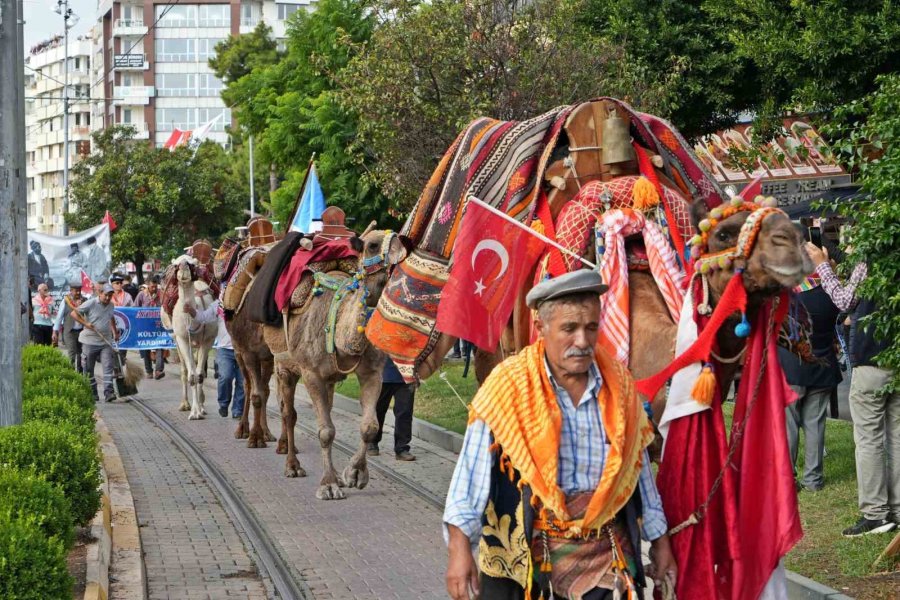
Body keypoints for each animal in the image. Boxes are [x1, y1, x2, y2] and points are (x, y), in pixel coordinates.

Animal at [161, 255, 219, 420]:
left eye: (192, 264)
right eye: (176, 265)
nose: (183, 272)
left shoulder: (208, 339)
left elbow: (199, 375)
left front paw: (199, 410)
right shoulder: (182, 338)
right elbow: (191, 375)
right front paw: (193, 412)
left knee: (199, 368)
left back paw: (202, 404)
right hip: (175, 337)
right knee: (184, 369)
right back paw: (184, 404)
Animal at [262, 230, 406, 502]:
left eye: (402, 241)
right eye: (373, 245)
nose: (400, 257)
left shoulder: (372, 372)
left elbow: (370, 426)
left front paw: (355, 474)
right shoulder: (311, 373)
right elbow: (325, 431)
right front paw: (328, 485)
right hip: (284, 364)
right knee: (288, 413)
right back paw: (292, 466)